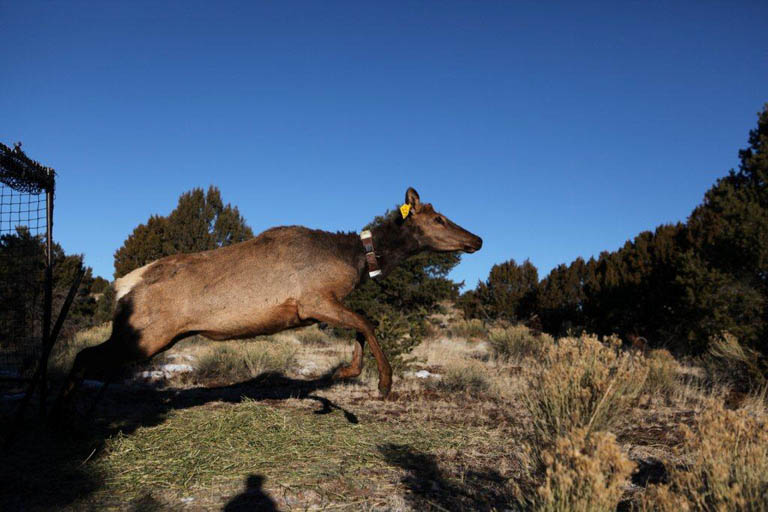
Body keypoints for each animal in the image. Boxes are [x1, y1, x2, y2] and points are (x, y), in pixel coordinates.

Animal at [52, 188, 480, 416]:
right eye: (438, 218)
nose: (476, 239)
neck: (357, 260)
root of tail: (122, 285)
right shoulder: (312, 301)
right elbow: (367, 323)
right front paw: (384, 384)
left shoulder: (324, 306)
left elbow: (361, 327)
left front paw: (347, 371)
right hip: (146, 336)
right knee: (84, 356)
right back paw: (62, 416)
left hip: (151, 336)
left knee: (89, 357)